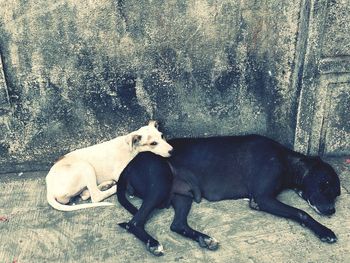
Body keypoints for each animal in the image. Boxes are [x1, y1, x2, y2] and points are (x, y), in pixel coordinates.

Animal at [45, 121, 174, 212]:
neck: (133, 149)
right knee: (95, 196)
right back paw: (112, 187)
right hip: (85, 166)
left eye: (162, 136)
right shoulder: (121, 173)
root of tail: (49, 189)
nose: (172, 151)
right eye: (153, 143)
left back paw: (106, 185)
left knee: (85, 194)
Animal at [116, 135, 340, 256]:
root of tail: (128, 165)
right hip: (159, 184)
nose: (331, 211)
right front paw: (324, 230)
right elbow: (302, 213)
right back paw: (153, 244)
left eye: (337, 193)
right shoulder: (263, 198)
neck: (286, 160)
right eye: (324, 185)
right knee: (134, 223)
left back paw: (205, 239)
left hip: (182, 196)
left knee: (177, 225)